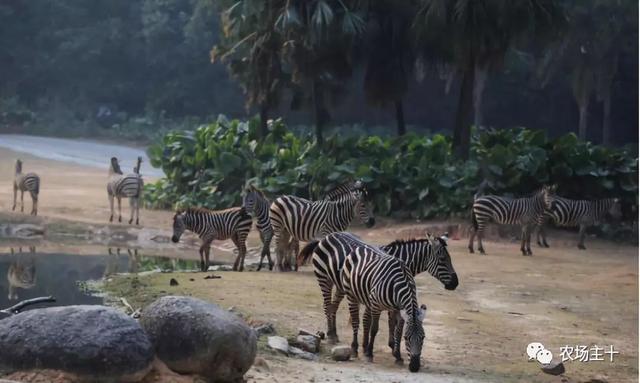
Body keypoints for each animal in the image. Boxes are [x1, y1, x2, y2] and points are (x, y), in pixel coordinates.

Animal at [342, 244, 428, 374]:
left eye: (423, 338)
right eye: (407, 338)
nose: (414, 367)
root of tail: (361, 246)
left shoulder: (398, 309)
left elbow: (397, 331)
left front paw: (398, 356)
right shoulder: (376, 306)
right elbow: (374, 329)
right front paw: (370, 355)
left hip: (367, 299)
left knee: (365, 320)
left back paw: (364, 347)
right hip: (351, 294)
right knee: (356, 321)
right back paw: (354, 349)